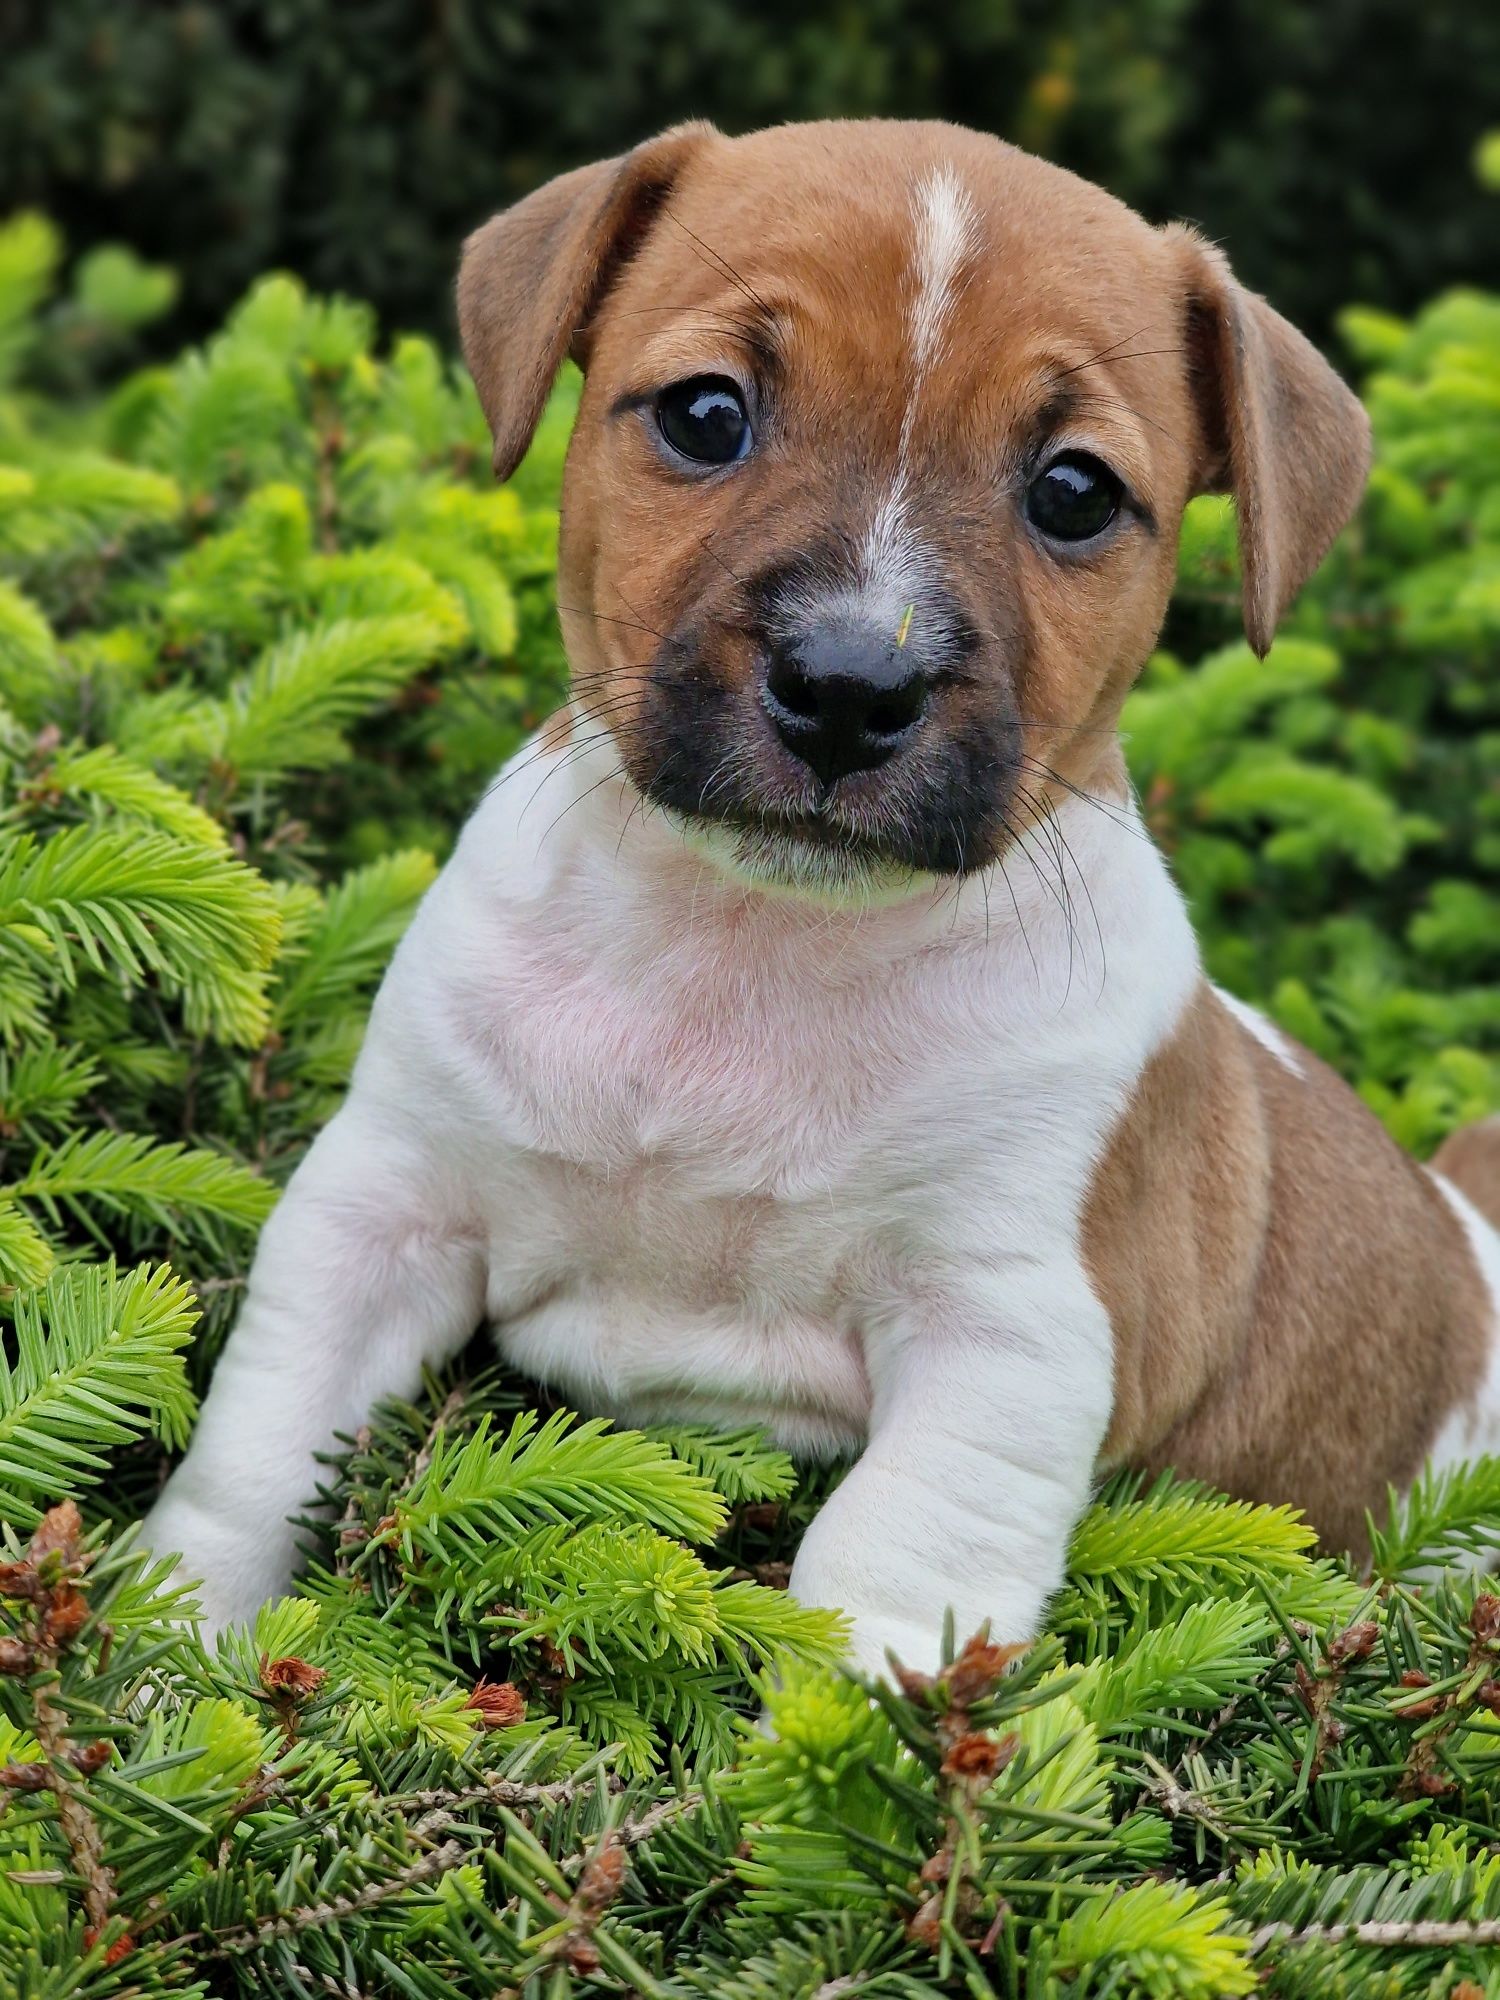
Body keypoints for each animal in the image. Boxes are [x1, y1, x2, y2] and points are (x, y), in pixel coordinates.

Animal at [144, 113, 1500, 1672]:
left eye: (1076, 492)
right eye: (705, 414)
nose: (852, 685)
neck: (751, 945)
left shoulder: (1005, 1337)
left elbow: (884, 1576)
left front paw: (843, 1730)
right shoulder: (385, 1202)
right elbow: (261, 1444)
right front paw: (165, 1650)